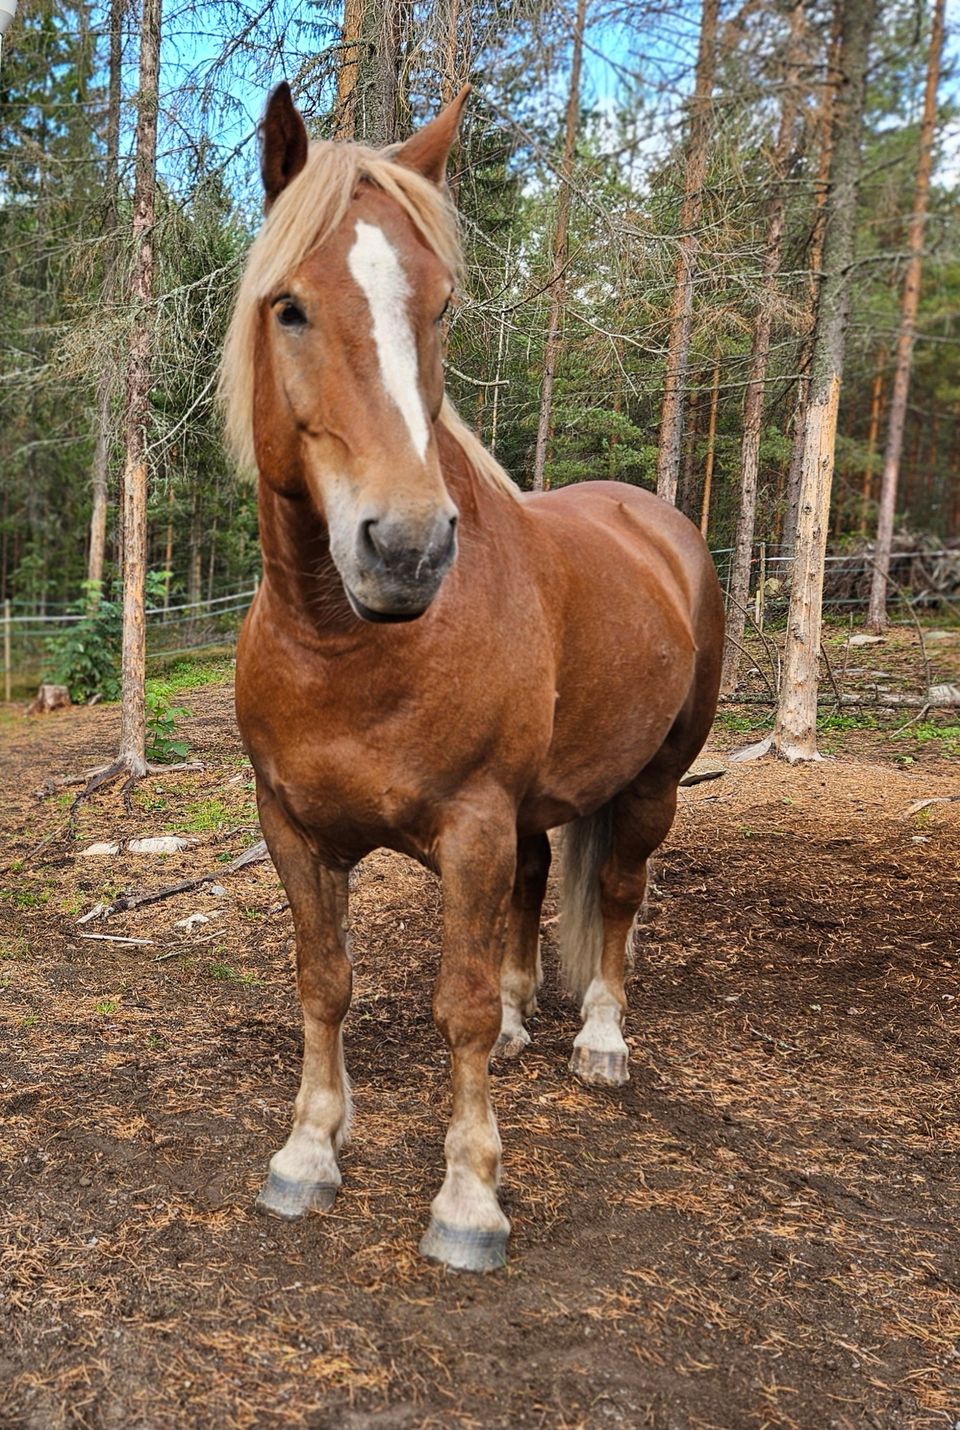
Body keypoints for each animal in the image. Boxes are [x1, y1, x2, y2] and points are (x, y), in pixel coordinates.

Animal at [221, 81, 723, 1275]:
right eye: (288, 306)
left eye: (442, 308)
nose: (405, 548)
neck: (347, 648)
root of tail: (659, 523)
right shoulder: (293, 827)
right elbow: (326, 980)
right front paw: (308, 1151)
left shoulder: (473, 823)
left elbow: (451, 1005)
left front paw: (467, 1197)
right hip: (539, 806)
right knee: (540, 887)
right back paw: (524, 1020)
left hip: (651, 786)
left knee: (617, 894)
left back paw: (599, 1038)